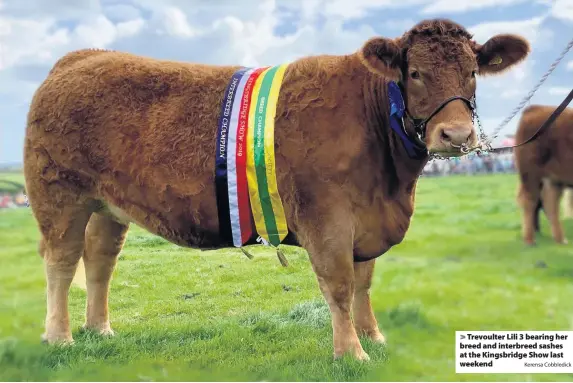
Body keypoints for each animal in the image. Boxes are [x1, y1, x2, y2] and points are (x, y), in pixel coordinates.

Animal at [25, 19, 528, 362]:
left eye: (472, 72)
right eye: (416, 73)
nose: (456, 135)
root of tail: (81, 57)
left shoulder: (365, 222)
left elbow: (364, 283)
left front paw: (373, 336)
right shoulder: (326, 217)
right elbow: (340, 285)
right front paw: (351, 353)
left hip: (107, 205)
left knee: (99, 261)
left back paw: (100, 330)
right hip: (59, 195)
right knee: (61, 262)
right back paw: (60, 337)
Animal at [512, 106, 572, 246]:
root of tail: (535, 108)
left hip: (555, 177)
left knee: (550, 202)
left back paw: (560, 239)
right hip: (531, 174)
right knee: (530, 201)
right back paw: (529, 240)